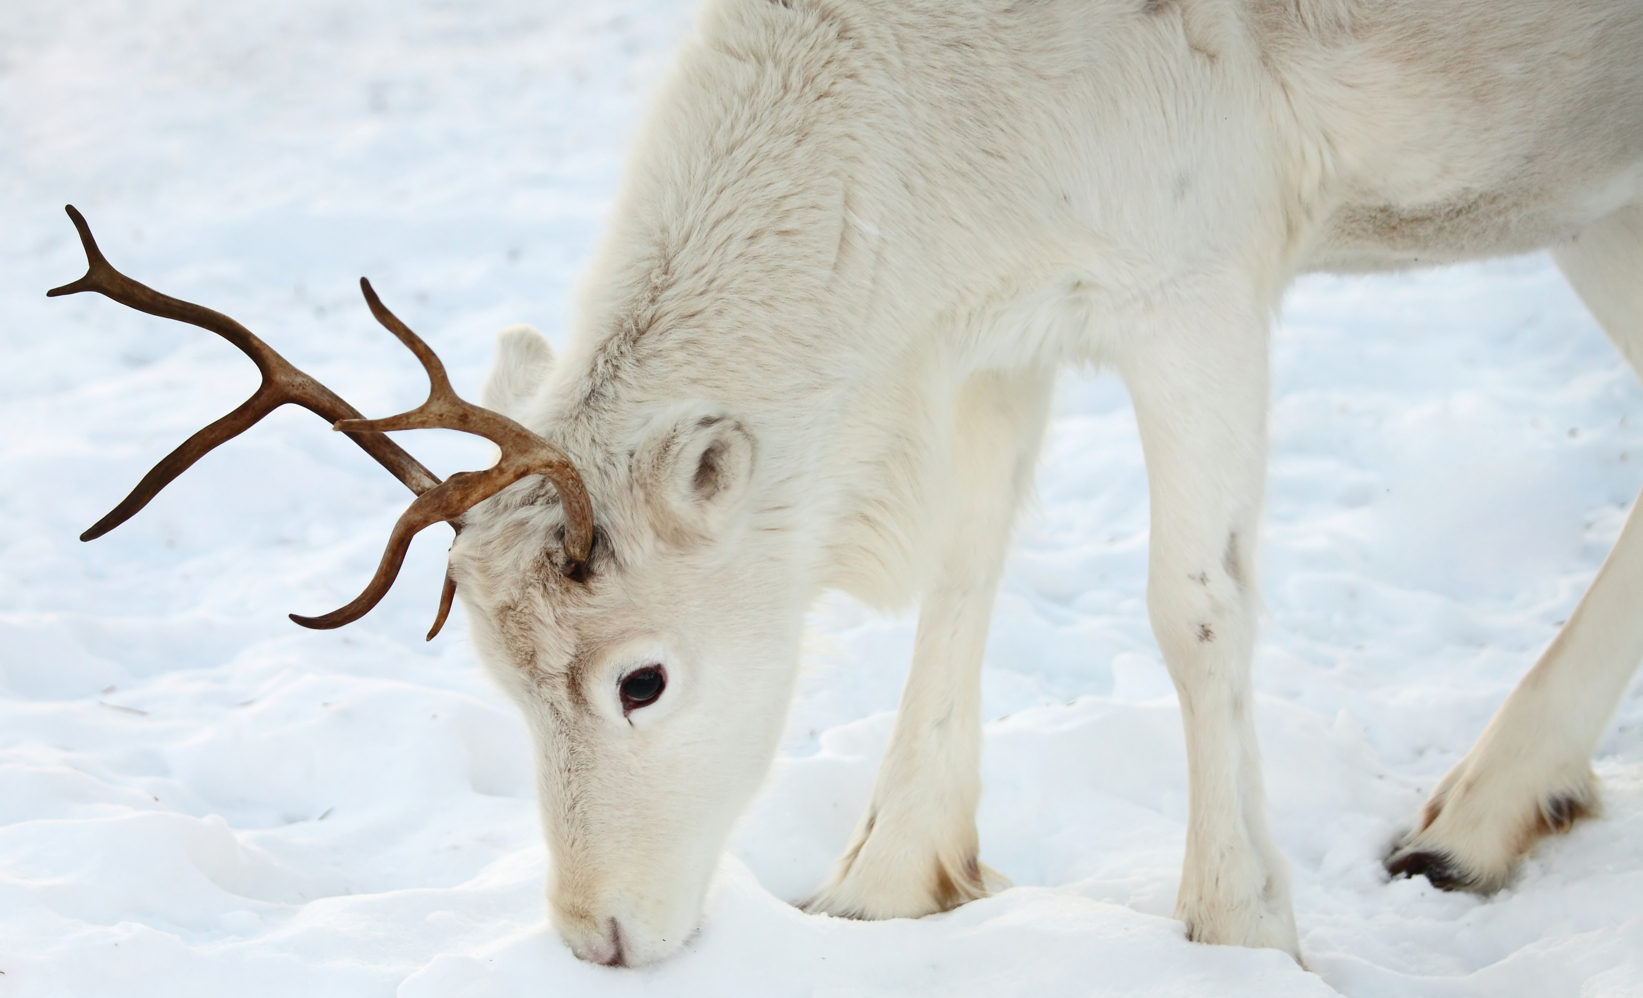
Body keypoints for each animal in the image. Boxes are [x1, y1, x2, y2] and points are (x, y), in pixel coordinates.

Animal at [52, 0, 1643, 970]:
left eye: (642, 679)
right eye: (496, 682)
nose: (594, 936)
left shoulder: (1197, 275)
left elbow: (1194, 608)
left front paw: (1242, 924)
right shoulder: (1003, 324)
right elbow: (963, 568)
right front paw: (888, 881)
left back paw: (1465, 816)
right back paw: (1487, 807)